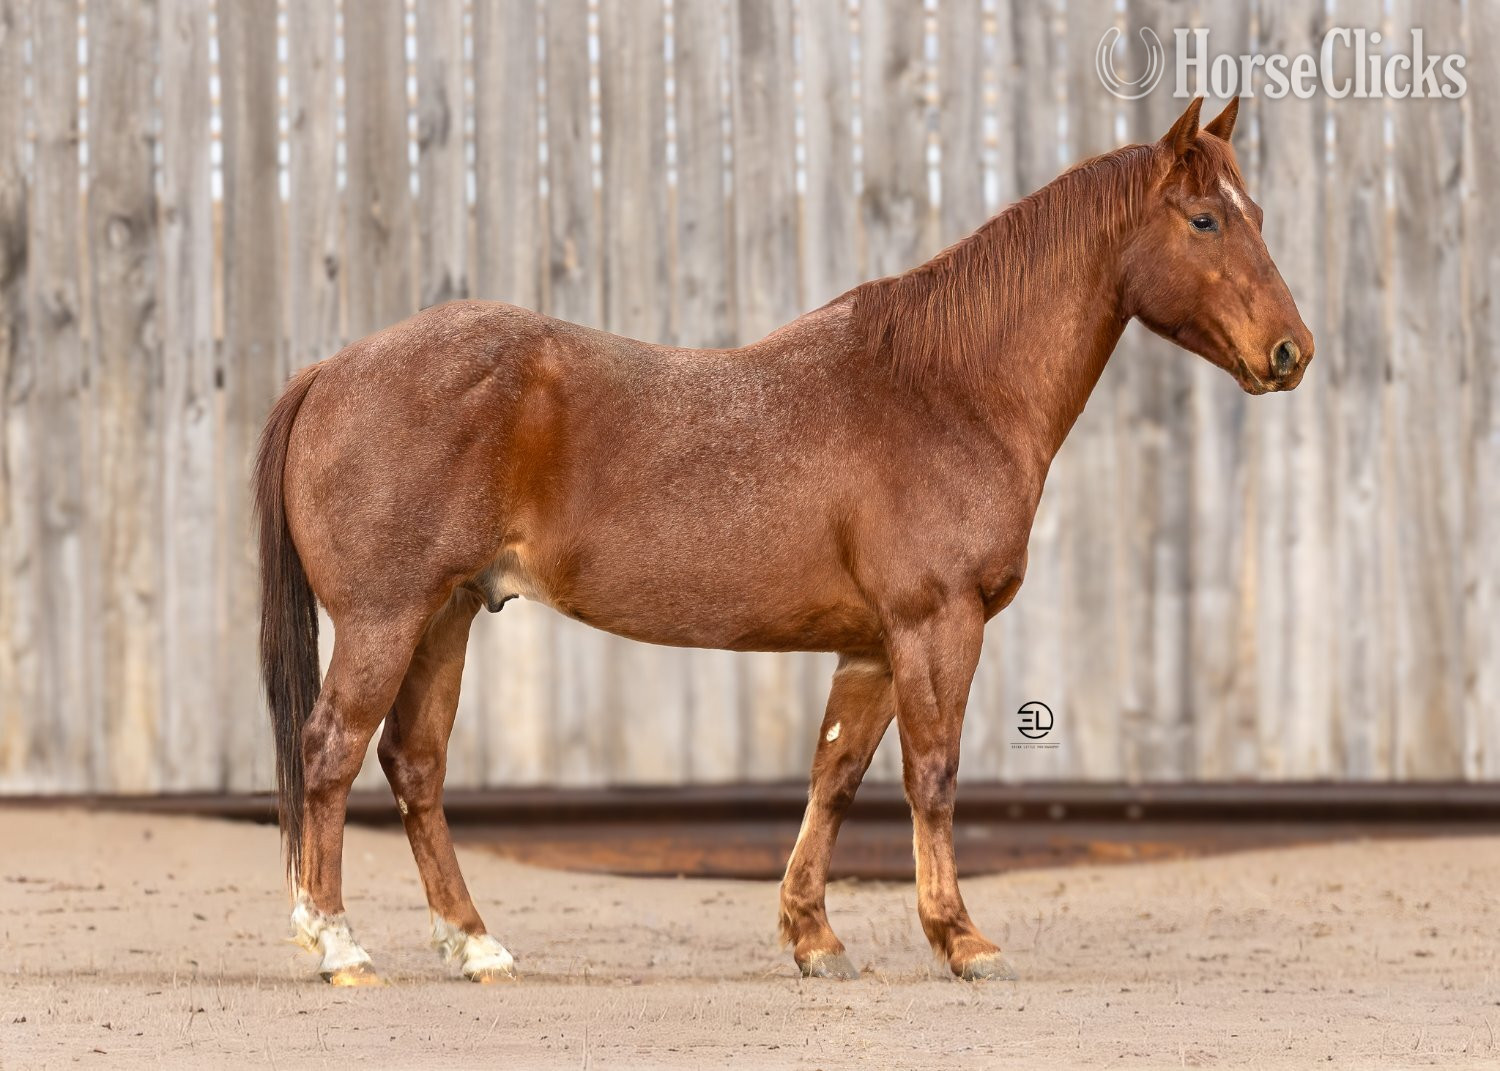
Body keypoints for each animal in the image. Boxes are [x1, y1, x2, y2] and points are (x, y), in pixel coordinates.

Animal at [255, 96, 1312, 986]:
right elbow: (932, 776)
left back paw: (476, 945)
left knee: (414, 763)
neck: (946, 389)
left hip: (446, 614)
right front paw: (961, 939)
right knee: (331, 748)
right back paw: (338, 944)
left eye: (1256, 208)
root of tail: (332, 369)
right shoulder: (937, 625)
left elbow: (834, 777)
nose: (1291, 352)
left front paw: (815, 937)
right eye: (1205, 220)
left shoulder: (872, 645)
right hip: (386, 618)